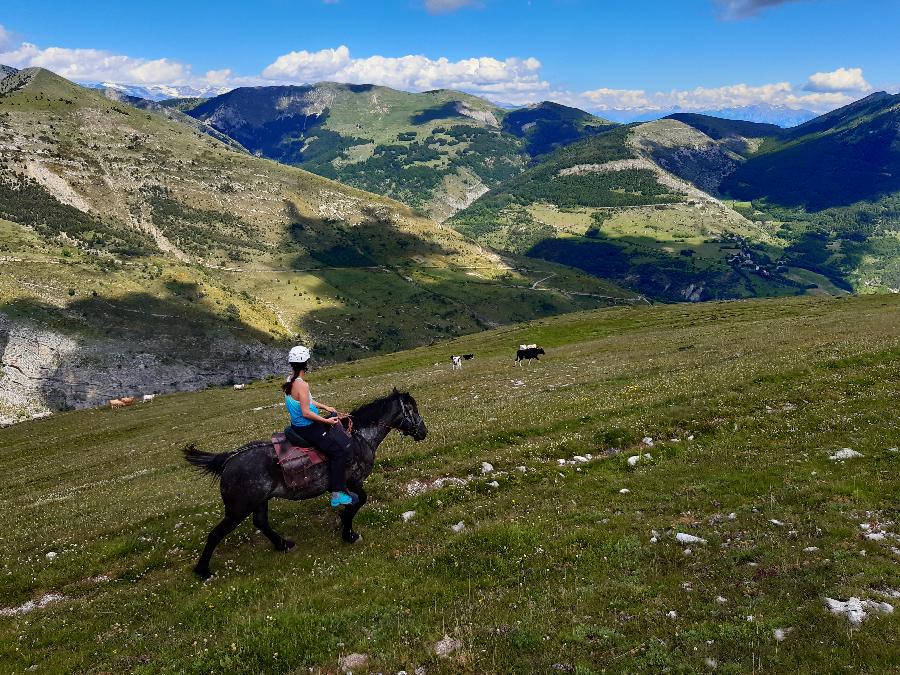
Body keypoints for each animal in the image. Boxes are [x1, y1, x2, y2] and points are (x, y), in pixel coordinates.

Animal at [183, 388, 428, 580]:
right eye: (413, 410)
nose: (424, 432)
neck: (359, 438)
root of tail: (229, 459)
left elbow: (353, 503)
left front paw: (343, 524)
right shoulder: (352, 481)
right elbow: (359, 501)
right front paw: (348, 533)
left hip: (260, 500)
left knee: (261, 522)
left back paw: (283, 544)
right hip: (238, 508)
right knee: (216, 534)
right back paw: (203, 571)